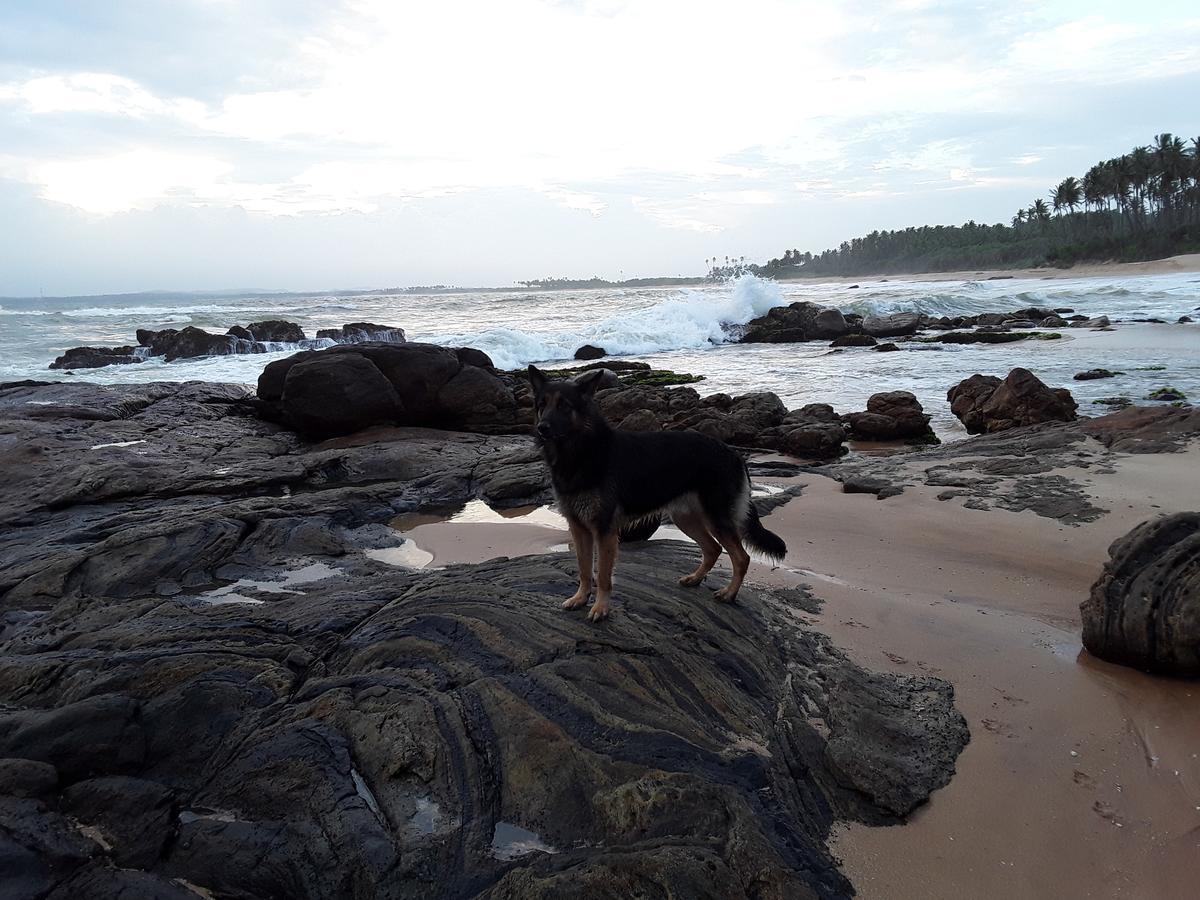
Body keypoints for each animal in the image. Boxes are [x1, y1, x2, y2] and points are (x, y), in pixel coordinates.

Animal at [532, 362, 787, 624]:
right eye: (542, 405)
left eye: (564, 405)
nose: (542, 428)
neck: (581, 451)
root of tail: (733, 452)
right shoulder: (579, 528)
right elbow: (583, 569)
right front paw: (580, 598)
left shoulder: (604, 531)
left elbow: (602, 575)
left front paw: (601, 607)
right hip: (685, 518)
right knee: (713, 549)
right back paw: (696, 579)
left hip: (716, 519)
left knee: (741, 557)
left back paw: (729, 593)